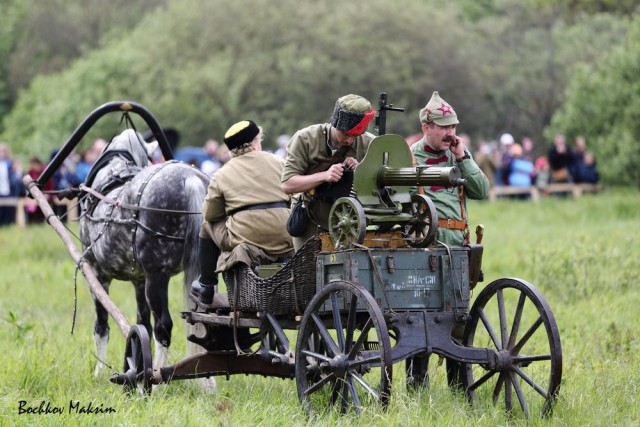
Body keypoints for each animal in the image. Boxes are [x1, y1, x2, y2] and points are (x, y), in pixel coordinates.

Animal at [79, 130, 210, 378]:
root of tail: (190, 179)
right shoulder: (139, 281)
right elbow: (143, 324)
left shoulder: (96, 274)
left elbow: (101, 326)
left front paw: (99, 370)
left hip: (156, 276)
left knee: (164, 327)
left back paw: (156, 375)